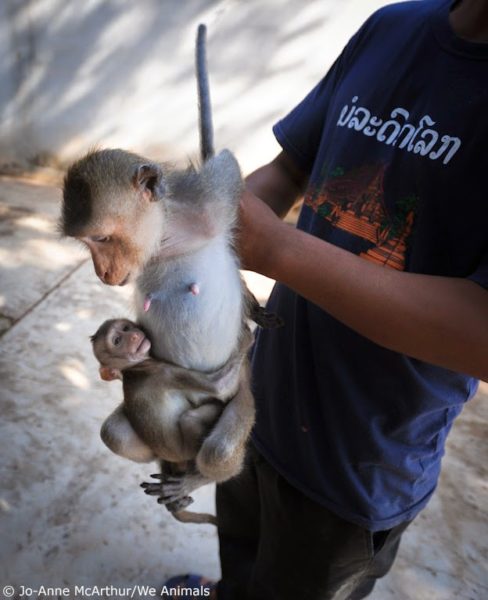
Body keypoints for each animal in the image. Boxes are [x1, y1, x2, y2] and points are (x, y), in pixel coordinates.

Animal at [91, 316, 250, 524]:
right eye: (117, 341)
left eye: (125, 328)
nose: (133, 335)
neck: (133, 369)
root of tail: (176, 459)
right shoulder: (164, 371)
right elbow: (219, 386)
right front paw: (247, 337)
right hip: (187, 450)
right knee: (200, 429)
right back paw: (198, 478)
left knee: (113, 434)